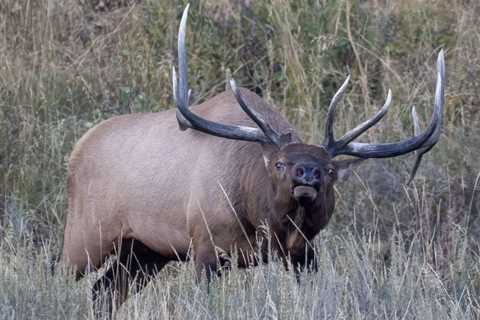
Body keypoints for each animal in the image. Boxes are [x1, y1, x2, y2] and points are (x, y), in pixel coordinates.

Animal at [60, 4, 446, 318]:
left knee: (103, 292)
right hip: (85, 232)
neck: (258, 217)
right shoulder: (206, 246)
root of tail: (77, 150)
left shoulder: (304, 253)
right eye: (279, 163)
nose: (307, 173)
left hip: (145, 249)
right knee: (60, 275)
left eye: (331, 170)